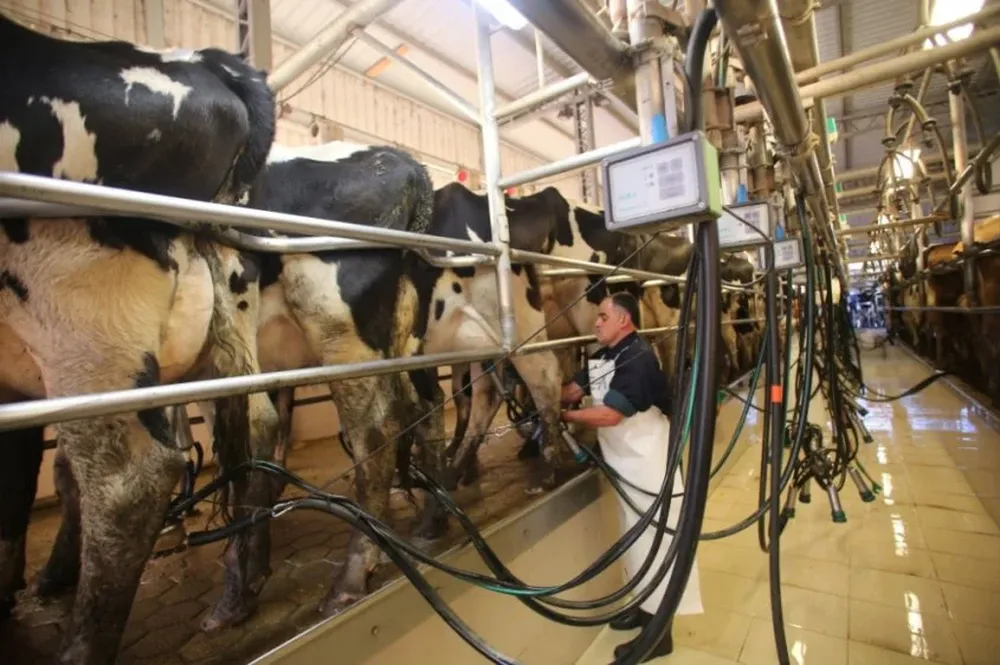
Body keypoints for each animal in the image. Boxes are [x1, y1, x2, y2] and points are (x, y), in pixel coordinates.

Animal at [2, 11, 282, 664]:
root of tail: (205, 62)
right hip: (222, 300)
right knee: (253, 419)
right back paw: (238, 593)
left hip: (79, 316)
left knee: (126, 484)